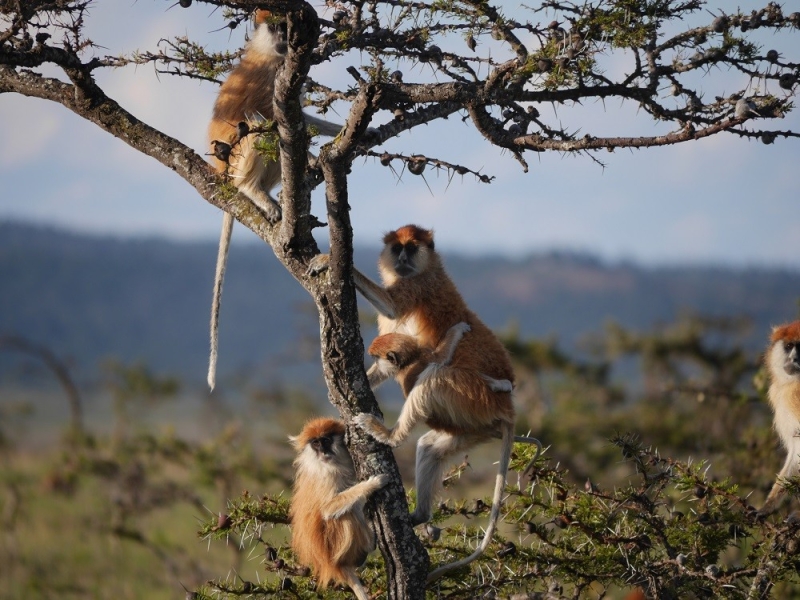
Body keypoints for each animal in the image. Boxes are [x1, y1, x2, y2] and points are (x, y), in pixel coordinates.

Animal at [206, 11, 340, 392]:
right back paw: (252, 191)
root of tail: (221, 173)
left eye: (285, 25)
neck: (268, 51)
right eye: (275, 26)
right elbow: (274, 118)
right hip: (236, 160)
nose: (286, 37)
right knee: (257, 124)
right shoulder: (272, 76)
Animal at [290, 418, 390, 600]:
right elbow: (328, 509)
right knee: (345, 514)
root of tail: (333, 565)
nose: (323, 452)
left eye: (325, 440)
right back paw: (369, 543)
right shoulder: (327, 474)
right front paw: (372, 484)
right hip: (337, 544)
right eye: (315, 443)